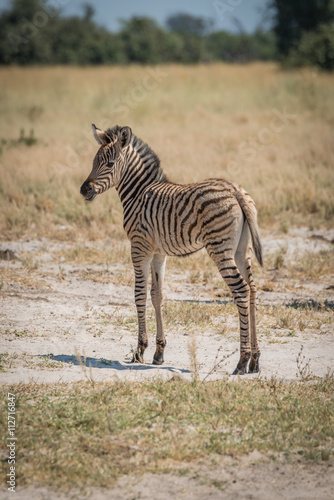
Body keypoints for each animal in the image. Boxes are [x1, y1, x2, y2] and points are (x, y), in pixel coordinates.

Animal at [81, 125, 264, 376]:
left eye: (109, 164)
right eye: (93, 161)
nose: (83, 190)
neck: (139, 192)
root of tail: (234, 189)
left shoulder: (139, 247)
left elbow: (139, 295)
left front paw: (140, 350)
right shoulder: (158, 253)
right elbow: (157, 295)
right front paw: (159, 352)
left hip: (220, 249)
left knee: (241, 290)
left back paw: (242, 361)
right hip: (241, 250)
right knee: (253, 290)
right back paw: (255, 360)